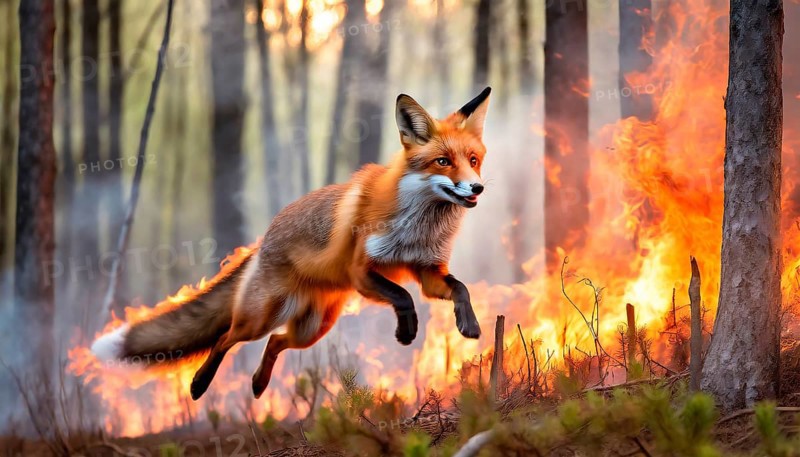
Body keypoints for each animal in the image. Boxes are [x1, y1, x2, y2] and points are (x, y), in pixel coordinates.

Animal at [91, 87, 492, 400]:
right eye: (443, 161)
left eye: (473, 160)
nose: (477, 188)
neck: (418, 226)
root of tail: (261, 242)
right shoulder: (361, 271)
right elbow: (403, 297)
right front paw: (406, 331)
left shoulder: (427, 270)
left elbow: (460, 288)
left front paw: (469, 325)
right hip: (259, 318)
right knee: (226, 337)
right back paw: (200, 384)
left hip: (313, 328)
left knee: (276, 342)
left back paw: (258, 383)